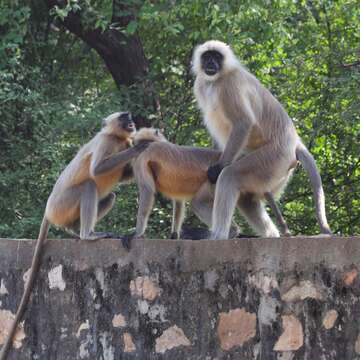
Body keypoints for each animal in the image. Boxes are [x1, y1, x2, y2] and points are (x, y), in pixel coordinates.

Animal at [0, 111, 149, 358]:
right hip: (63, 203)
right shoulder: (106, 142)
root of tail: (48, 208)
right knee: (89, 184)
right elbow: (97, 170)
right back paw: (88, 235)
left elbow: (124, 175)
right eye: (123, 117)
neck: (117, 138)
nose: (131, 122)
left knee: (109, 196)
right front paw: (140, 147)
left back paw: (76, 233)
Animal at [193, 40, 334, 239]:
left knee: (230, 175)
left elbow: (243, 123)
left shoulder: (229, 85)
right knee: (248, 198)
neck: (217, 79)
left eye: (216, 57)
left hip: (273, 159)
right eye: (207, 56)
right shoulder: (200, 84)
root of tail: (294, 141)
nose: (211, 63)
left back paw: (219, 235)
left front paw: (218, 167)